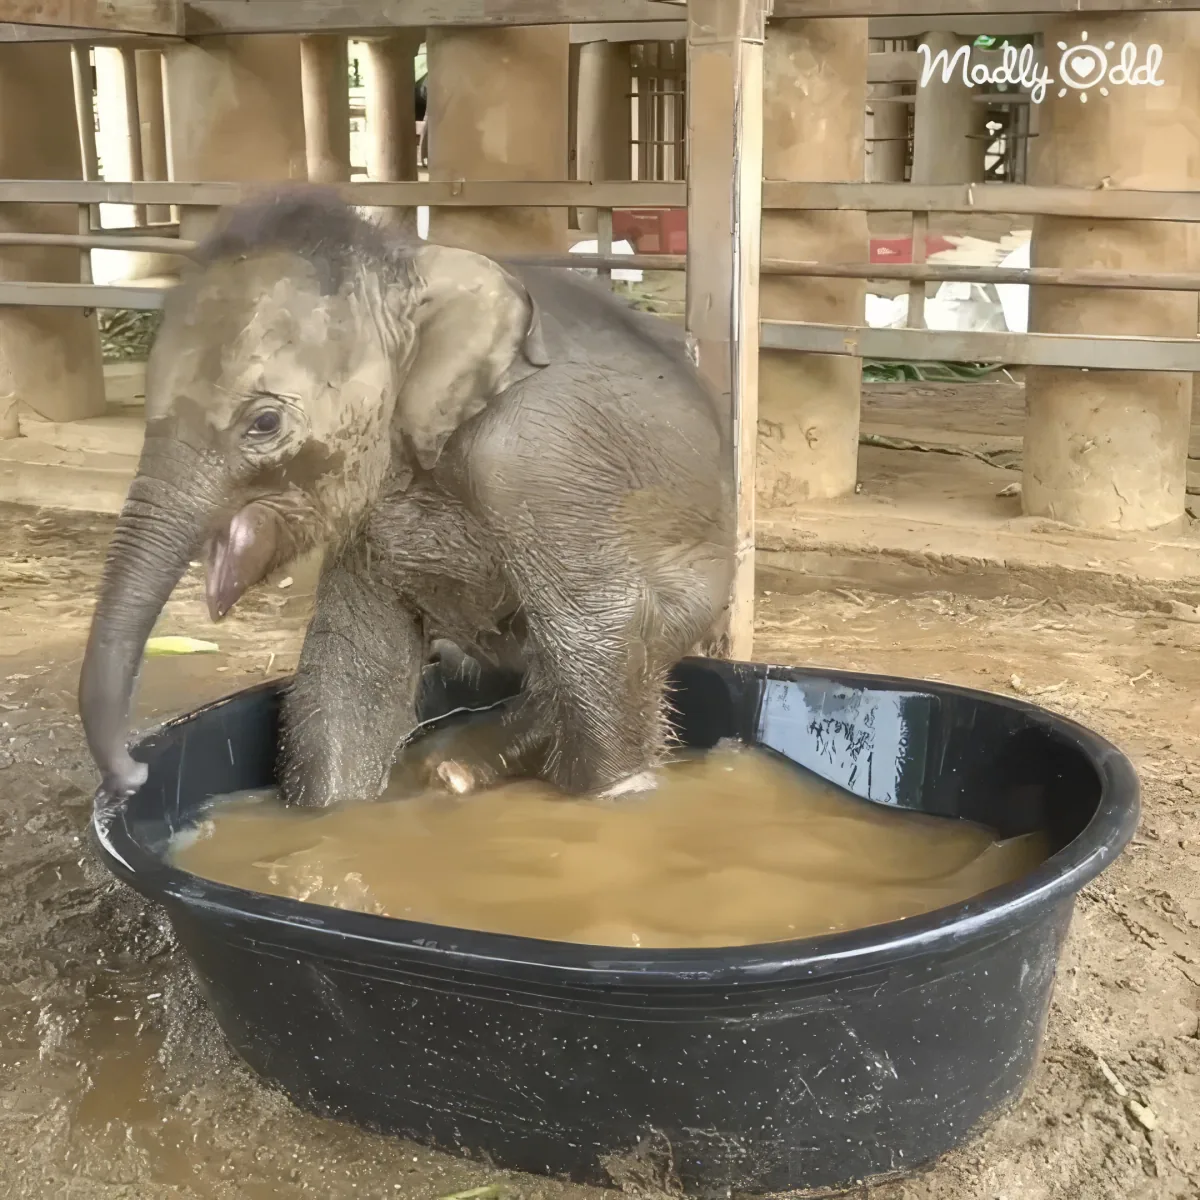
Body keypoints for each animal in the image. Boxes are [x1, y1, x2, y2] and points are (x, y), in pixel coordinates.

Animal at [78, 187, 735, 810]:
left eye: (263, 423)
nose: (134, 776)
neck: (416, 269)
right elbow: (352, 666)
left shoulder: (541, 457)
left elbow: (602, 634)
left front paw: (617, 799)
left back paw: (460, 770)